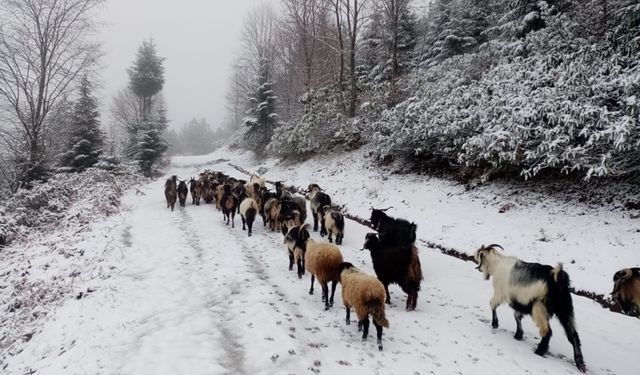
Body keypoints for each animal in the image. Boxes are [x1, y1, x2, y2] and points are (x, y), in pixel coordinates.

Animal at [476, 244, 584, 374]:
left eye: (480, 255)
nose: (478, 268)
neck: (497, 264)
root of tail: (557, 279)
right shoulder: (521, 302)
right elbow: (517, 316)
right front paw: (518, 335)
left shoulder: (500, 293)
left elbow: (492, 304)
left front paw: (495, 324)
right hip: (565, 309)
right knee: (573, 335)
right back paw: (580, 363)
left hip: (539, 307)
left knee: (547, 331)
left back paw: (540, 351)